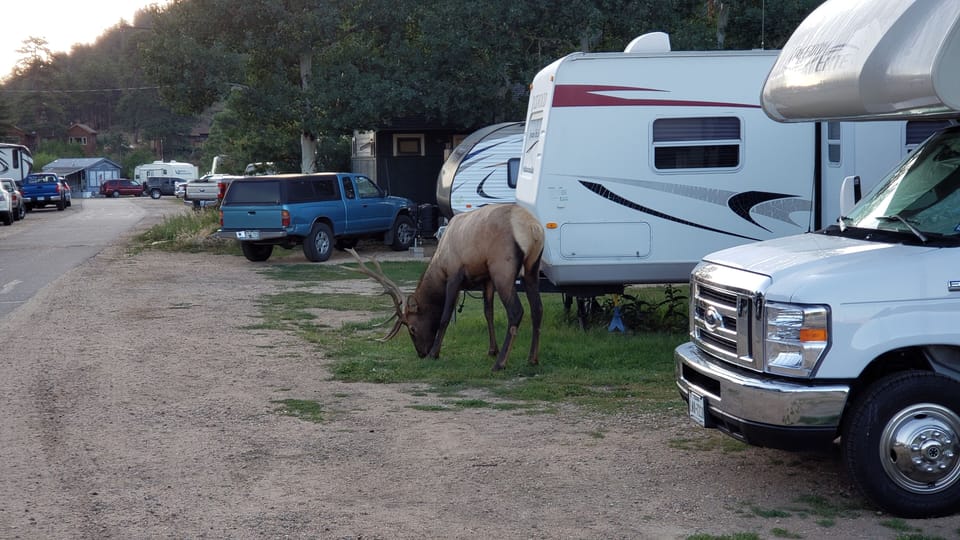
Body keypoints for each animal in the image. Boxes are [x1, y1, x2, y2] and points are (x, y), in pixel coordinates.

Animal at [347, 203, 544, 371]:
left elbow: (445, 316)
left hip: (502, 268)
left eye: (412, 328)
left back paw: (500, 363)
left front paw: (435, 353)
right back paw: (532, 358)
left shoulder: (454, 275)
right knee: (537, 308)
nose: (421, 353)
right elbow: (488, 312)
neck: (439, 263)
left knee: (516, 311)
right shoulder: (486, 277)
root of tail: (534, 229)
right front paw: (491, 350)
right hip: (531, 268)